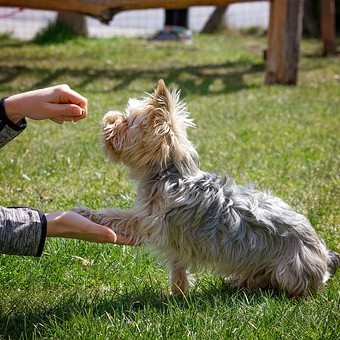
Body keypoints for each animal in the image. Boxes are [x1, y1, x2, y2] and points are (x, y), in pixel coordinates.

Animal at [73, 79, 338, 298]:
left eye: (127, 122)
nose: (108, 118)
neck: (170, 173)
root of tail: (324, 254)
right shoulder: (174, 240)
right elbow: (178, 269)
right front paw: (177, 295)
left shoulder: (150, 220)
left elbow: (118, 215)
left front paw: (86, 213)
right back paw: (243, 282)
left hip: (291, 269)